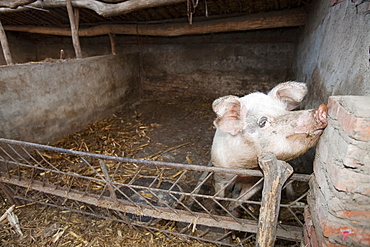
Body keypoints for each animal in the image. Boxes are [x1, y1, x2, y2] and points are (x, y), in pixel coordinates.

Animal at [210, 81, 328, 212]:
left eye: (284, 110)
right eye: (263, 122)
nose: (322, 108)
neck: (248, 169)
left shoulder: (258, 180)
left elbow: (243, 197)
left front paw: (233, 208)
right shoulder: (221, 172)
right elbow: (219, 194)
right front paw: (219, 208)